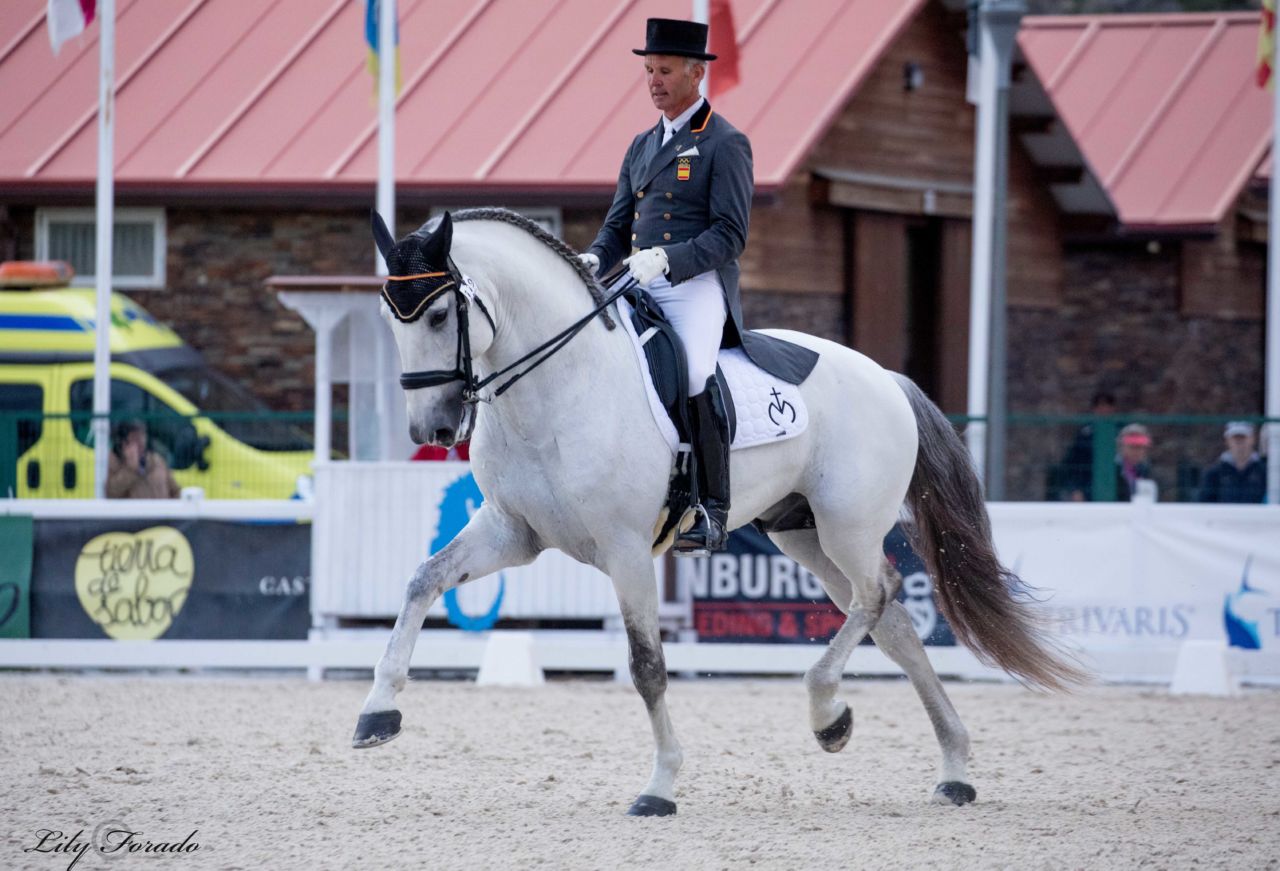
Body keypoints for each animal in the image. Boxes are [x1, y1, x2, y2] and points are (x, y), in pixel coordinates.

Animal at [353, 207, 1080, 814]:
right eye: (390, 321)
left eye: (440, 318)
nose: (431, 429)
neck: (557, 386)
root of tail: (886, 379)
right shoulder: (513, 531)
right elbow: (422, 580)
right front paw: (377, 713)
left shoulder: (625, 549)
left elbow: (647, 667)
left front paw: (660, 786)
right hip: (802, 534)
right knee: (893, 622)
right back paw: (951, 767)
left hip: (847, 526)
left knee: (878, 595)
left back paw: (829, 716)